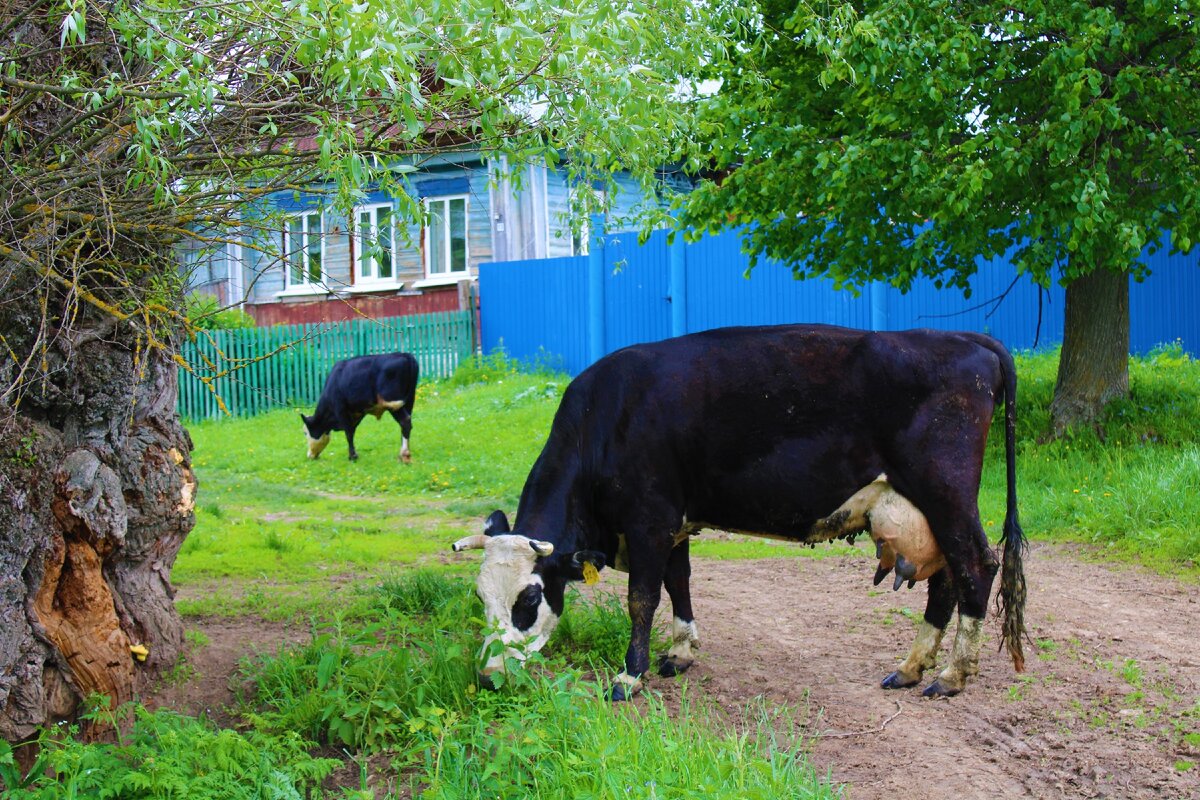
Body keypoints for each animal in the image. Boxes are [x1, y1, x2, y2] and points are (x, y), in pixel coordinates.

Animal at [453, 326, 1027, 700]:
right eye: (480, 597)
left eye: (529, 599)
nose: (488, 677)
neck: (606, 419)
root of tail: (964, 338)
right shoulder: (674, 523)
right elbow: (678, 583)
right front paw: (681, 653)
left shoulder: (648, 519)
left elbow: (643, 598)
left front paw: (629, 676)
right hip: (924, 509)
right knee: (946, 581)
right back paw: (911, 668)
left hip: (945, 492)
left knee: (976, 568)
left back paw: (951, 676)